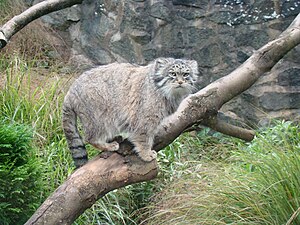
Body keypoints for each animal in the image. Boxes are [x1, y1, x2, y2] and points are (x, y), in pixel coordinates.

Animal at [62, 57, 200, 167]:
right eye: (173, 74)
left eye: (186, 74)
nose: (180, 82)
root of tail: (70, 91)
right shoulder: (144, 121)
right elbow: (144, 139)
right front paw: (146, 154)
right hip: (100, 118)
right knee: (90, 138)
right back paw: (109, 145)